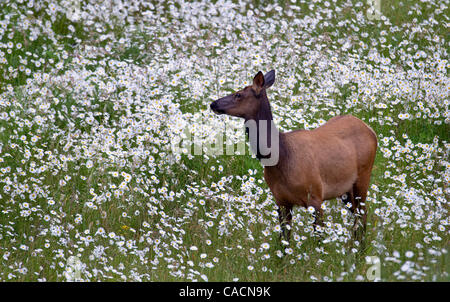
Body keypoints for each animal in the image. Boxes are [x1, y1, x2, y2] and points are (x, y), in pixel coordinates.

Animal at [209, 69, 378, 242]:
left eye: (238, 94)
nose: (213, 104)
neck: (281, 158)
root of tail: (371, 130)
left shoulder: (316, 196)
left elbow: (319, 239)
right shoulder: (281, 200)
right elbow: (284, 240)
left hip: (363, 176)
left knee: (363, 215)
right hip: (345, 191)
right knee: (357, 216)